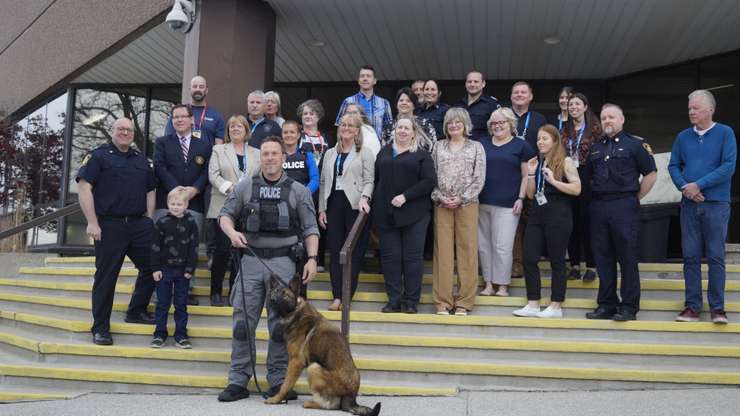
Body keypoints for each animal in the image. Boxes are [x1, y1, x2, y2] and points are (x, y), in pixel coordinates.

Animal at [266, 272, 382, 416]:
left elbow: (285, 385)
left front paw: (276, 399)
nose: (272, 300)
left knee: (331, 405)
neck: (295, 311)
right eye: (273, 292)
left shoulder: (295, 362)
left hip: (314, 368)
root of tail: (351, 398)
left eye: (284, 295)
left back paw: (311, 403)